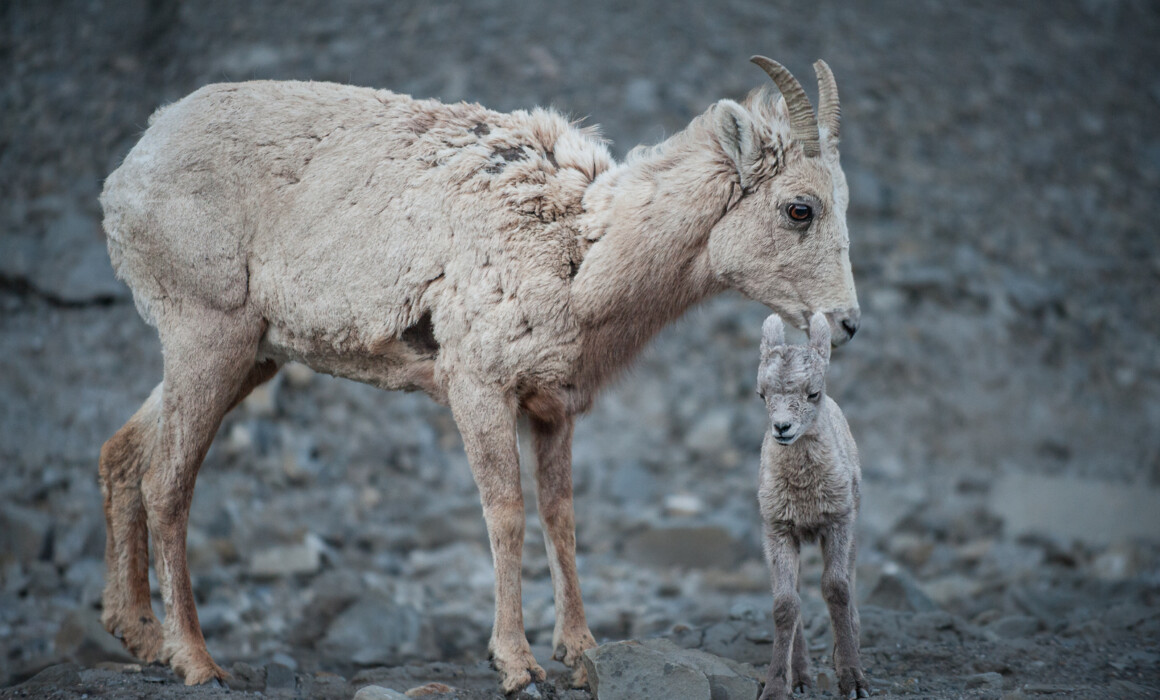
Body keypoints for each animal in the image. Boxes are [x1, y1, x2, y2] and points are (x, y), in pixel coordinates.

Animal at [755, 312, 868, 700]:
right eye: (762, 394)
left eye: (813, 393)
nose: (782, 428)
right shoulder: (778, 533)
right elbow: (785, 605)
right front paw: (778, 686)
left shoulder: (837, 523)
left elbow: (837, 590)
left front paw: (853, 681)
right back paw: (802, 677)